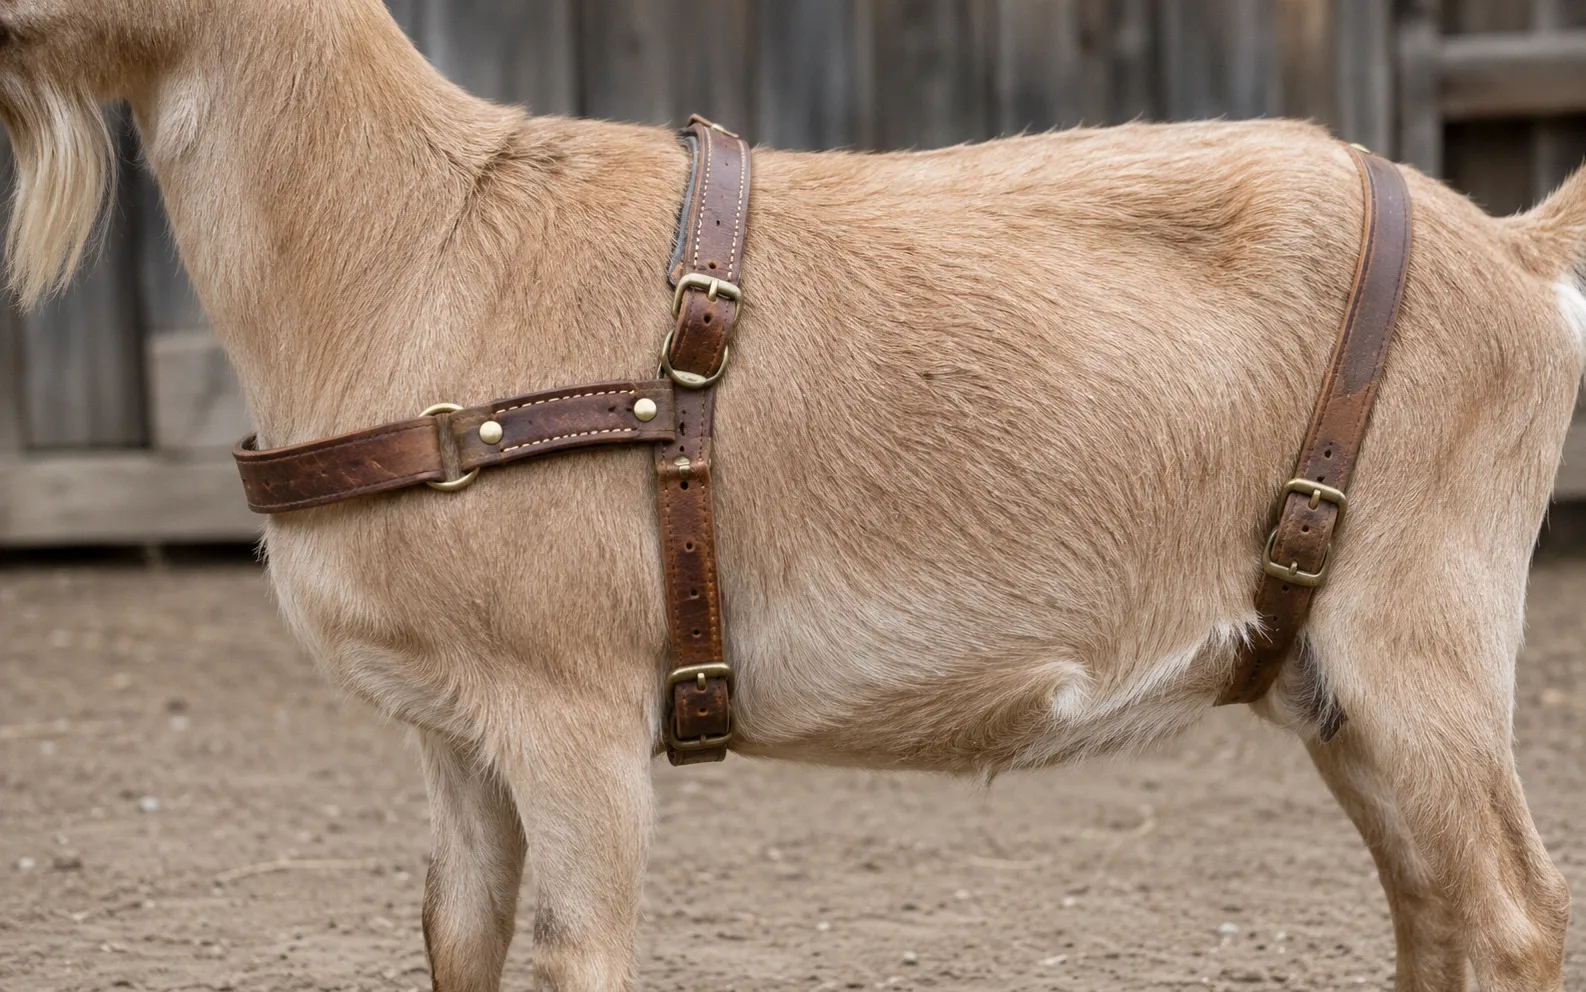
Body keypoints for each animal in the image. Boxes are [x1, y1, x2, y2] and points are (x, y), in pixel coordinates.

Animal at [4, 1, 1581, 988]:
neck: (416, 239)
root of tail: (1508, 249)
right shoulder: (451, 730)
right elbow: (457, 935)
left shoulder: (571, 703)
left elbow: (577, 947)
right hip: (1329, 678)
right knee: (1430, 906)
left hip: (1422, 630)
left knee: (1510, 913)